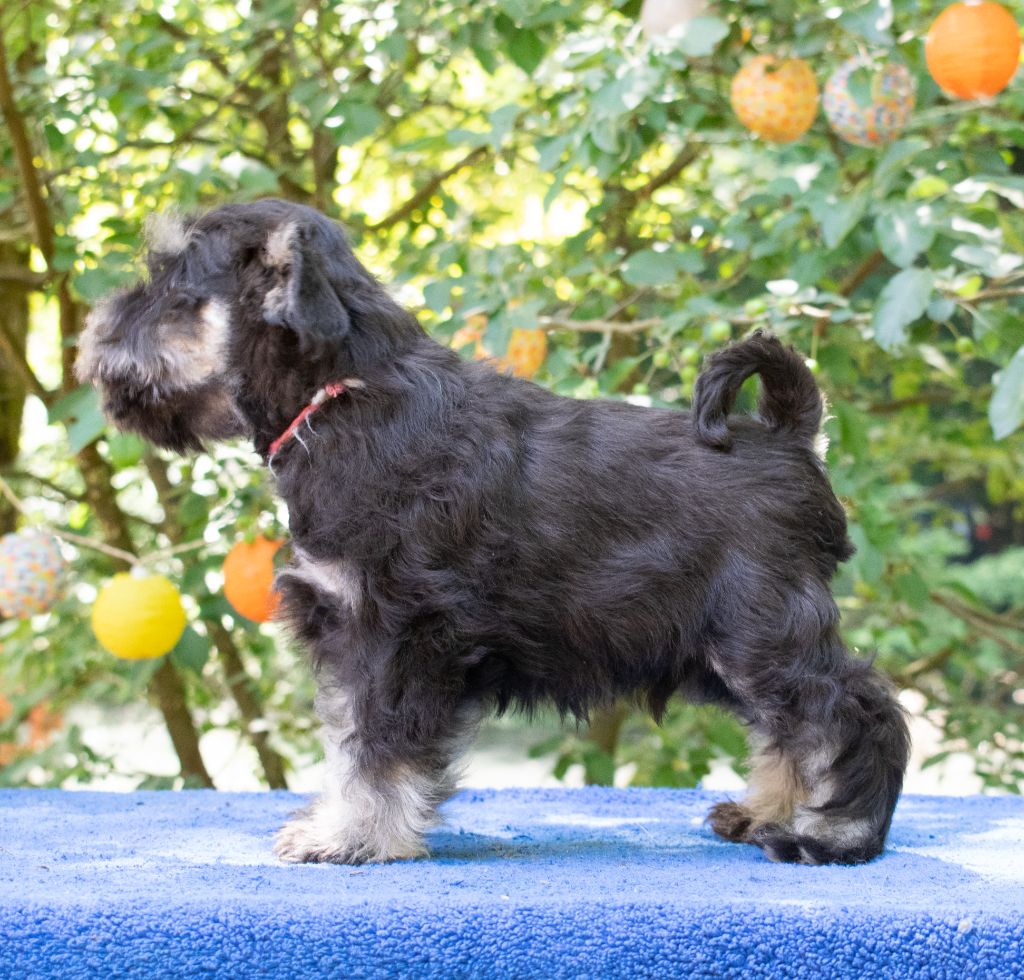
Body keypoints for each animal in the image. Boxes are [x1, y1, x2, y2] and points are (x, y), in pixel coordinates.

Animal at [79, 196, 913, 864]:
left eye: (173, 284)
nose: (93, 334)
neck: (342, 398)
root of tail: (791, 436)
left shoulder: (391, 632)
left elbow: (373, 746)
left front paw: (349, 837)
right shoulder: (352, 629)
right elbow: (349, 739)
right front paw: (343, 825)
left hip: (759, 630)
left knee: (853, 712)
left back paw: (830, 833)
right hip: (721, 648)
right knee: (788, 730)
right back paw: (766, 812)